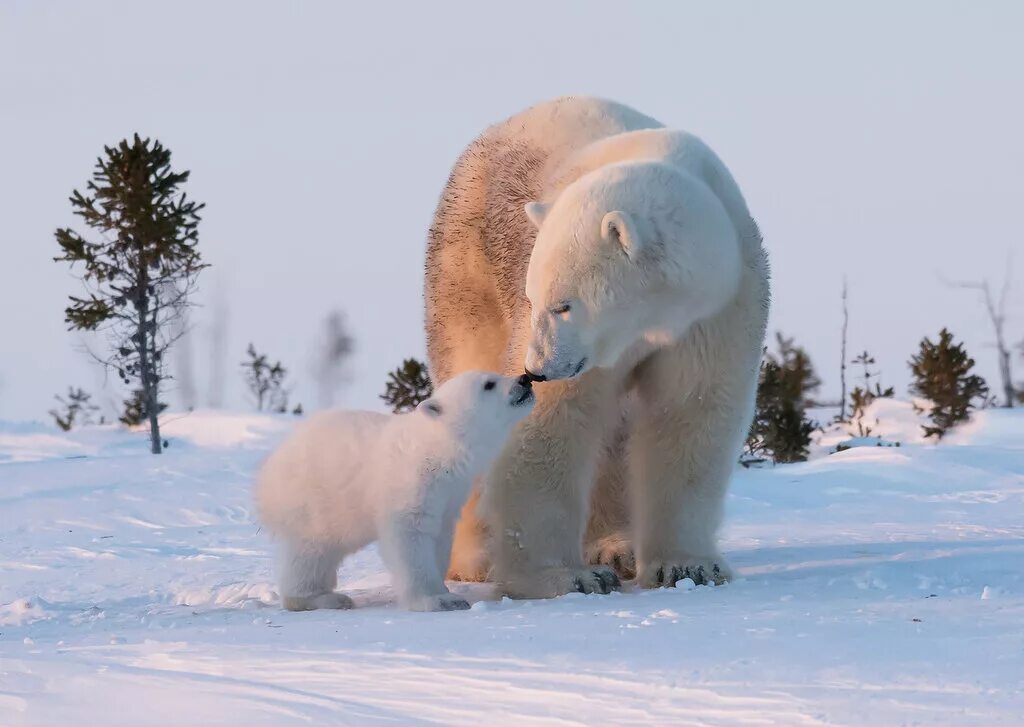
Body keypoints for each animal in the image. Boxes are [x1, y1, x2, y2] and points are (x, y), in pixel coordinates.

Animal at [256, 372, 536, 610]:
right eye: (489, 383)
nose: (524, 379)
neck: (437, 450)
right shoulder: (411, 484)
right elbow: (410, 536)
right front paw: (435, 600)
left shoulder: (449, 495)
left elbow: (440, 537)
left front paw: (445, 590)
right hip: (314, 501)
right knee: (311, 552)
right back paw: (322, 598)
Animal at [423, 95, 770, 597]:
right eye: (531, 298)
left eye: (564, 305)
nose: (536, 369)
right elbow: (555, 421)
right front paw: (564, 577)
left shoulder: (720, 307)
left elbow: (691, 413)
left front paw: (687, 567)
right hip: (465, 265)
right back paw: (476, 559)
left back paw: (616, 547)